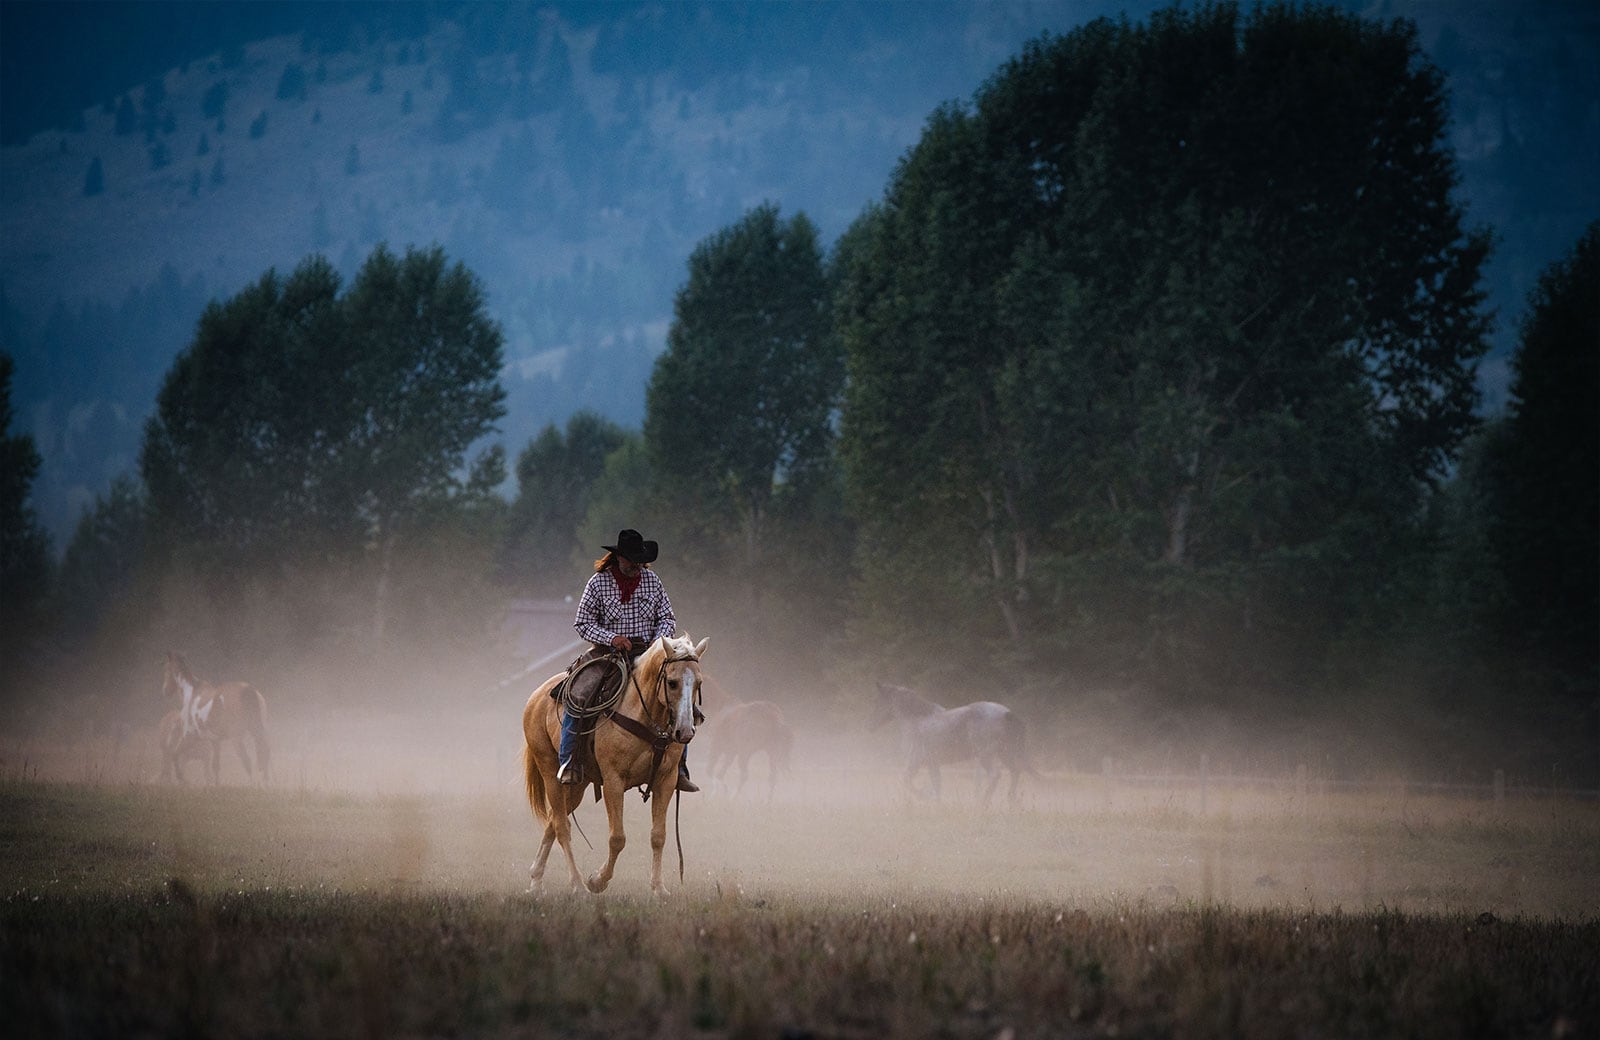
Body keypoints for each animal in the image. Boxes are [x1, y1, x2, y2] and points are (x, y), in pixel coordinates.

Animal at [160, 652, 272, 780]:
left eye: (166, 669)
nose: (165, 691)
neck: (191, 695)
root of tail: (248, 690)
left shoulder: (189, 736)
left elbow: (175, 754)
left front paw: (181, 778)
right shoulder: (215, 741)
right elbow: (216, 767)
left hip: (237, 738)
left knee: (247, 761)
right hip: (259, 731)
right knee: (265, 756)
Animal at [521, 627, 710, 896]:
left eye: (699, 683)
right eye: (672, 683)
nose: (684, 732)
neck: (644, 715)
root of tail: (536, 697)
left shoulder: (666, 780)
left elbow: (658, 836)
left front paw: (658, 888)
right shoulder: (613, 781)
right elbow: (617, 838)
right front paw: (597, 881)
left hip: (578, 785)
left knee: (552, 822)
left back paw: (536, 881)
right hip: (550, 772)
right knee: (561, 826)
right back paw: (578, 885)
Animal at [870, 684, 1030, 806]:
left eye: (878, 702)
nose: (868, 725)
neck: (917, 721)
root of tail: (1006, 712)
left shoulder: (915, 761)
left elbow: (905, 780)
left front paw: (926, 796)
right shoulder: (932, 763)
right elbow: (936, 785)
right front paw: (936, 803)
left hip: (986, 755)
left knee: (995, 775)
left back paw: (983, 803)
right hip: (1005, 753)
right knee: (1016, 771)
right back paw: (1011, 800)